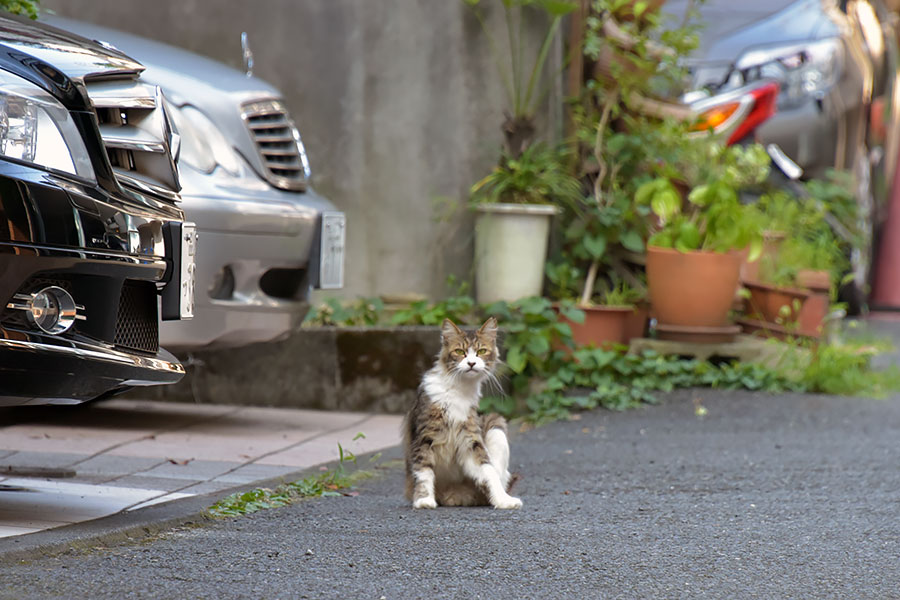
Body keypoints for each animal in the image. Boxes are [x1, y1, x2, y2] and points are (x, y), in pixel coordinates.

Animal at [402, 316, 520, 508]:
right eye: (459, 351)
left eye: (481, 351)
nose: (471, 363)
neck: (458, 390)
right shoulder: (424, 435)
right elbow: (424, 471)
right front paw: (424, 500)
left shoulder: (470, 439)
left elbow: (488, 470)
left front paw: (503, 500)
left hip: (496, 425)